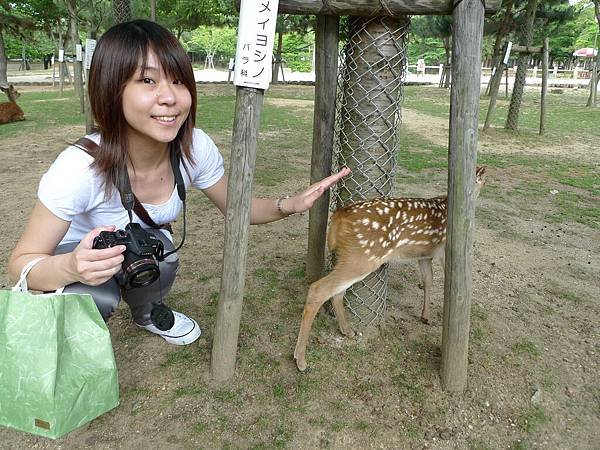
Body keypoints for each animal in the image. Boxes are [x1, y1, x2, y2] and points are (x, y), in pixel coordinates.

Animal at [296, 167, 488, 370]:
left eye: (478, 181)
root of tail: (339, 215)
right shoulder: (444, 252)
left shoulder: (423, 256)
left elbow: (428, 281)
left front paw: (425, 317)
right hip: (362, 256)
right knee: (319, 289)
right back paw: (300, 358)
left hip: (351, 256)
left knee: (337, 292)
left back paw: (347, 331)